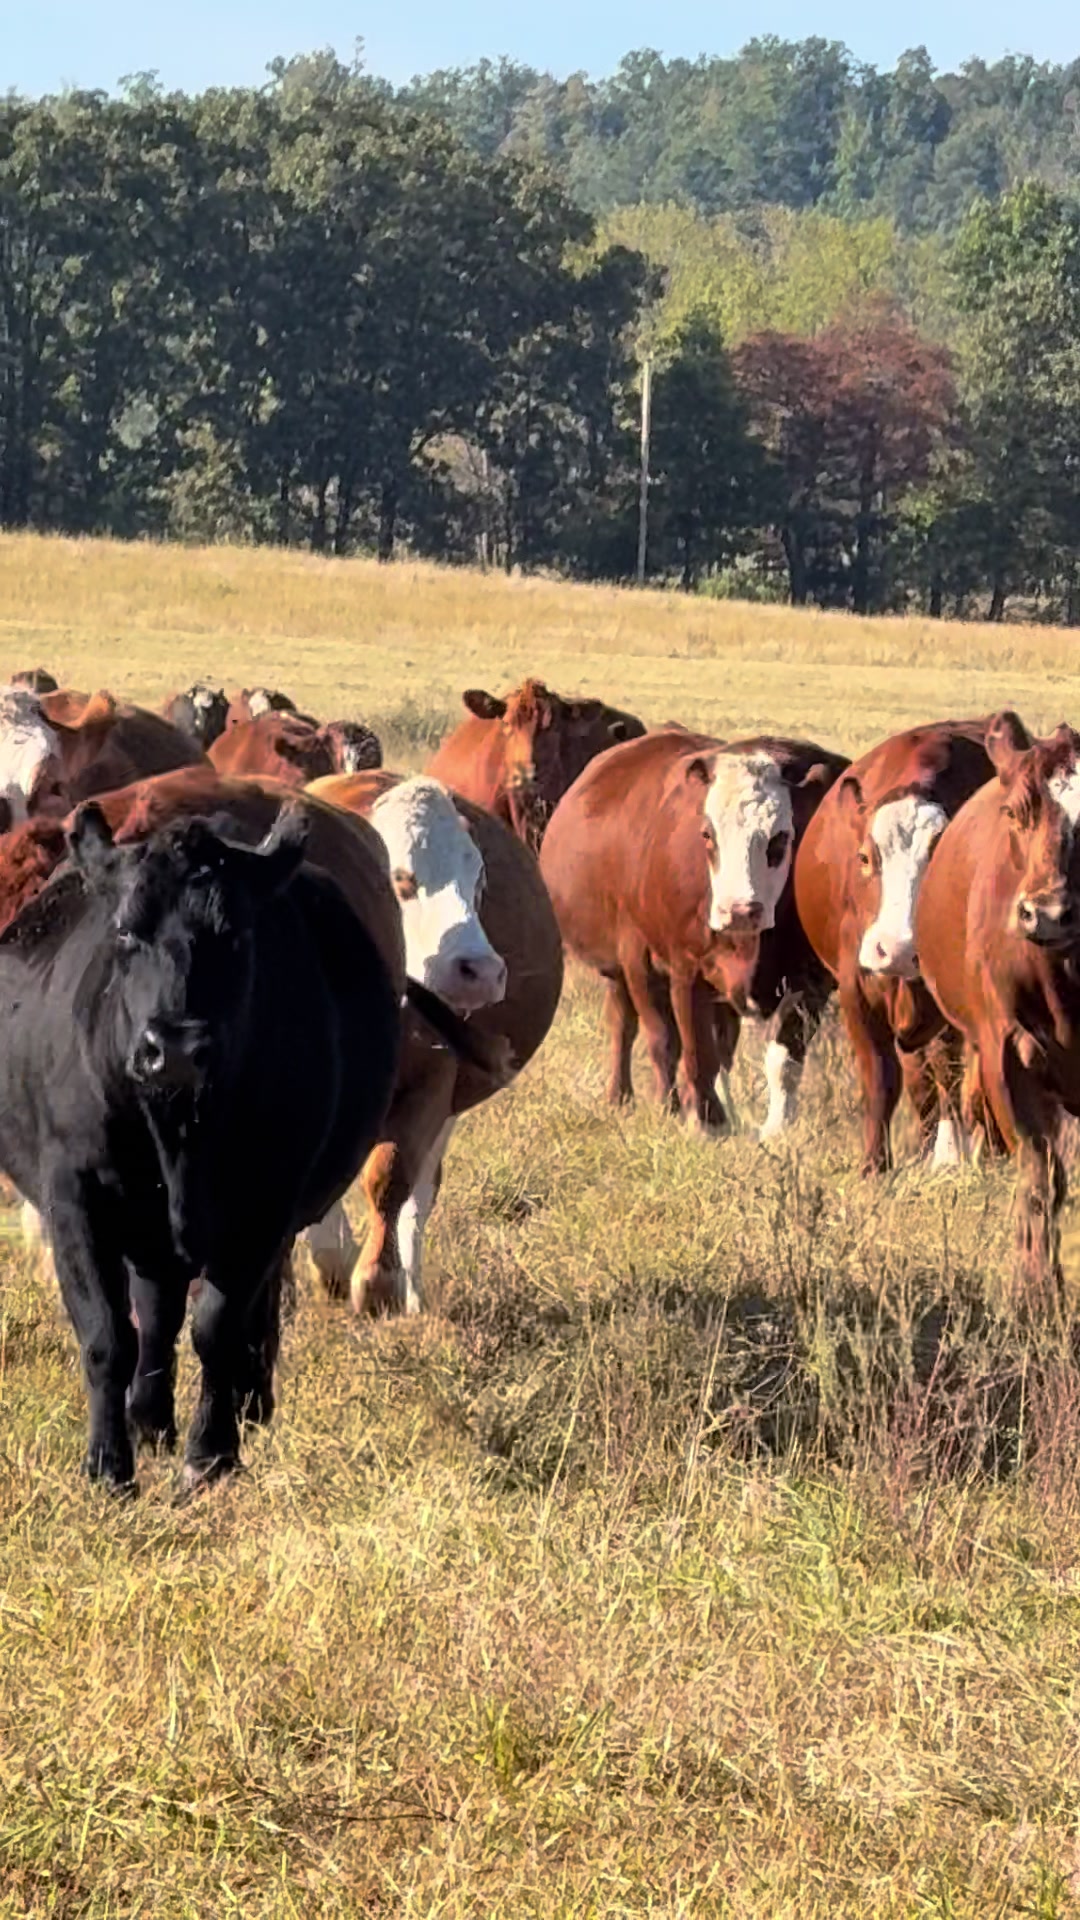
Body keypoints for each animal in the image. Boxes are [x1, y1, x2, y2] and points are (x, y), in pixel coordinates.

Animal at [0, 800, 404, 1495]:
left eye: (235, 935)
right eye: (125, 933)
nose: (176, 1048)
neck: (180, 1133)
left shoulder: (266, 1203)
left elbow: (218, 1327)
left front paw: (209, 1457)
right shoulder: (75, 1198)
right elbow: (107, 1333)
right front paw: (108, 1467)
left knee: (242, 1316)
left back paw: (244, 1407)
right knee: (157, 1312)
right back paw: (149, 1419)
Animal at [305, 768, 563, 1313]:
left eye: (479, 879)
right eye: (399, 879)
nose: (479, 970)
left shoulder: (434, 1082)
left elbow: (391, 1177)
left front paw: (377, 1282)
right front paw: (332, 1260)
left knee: (420, 1195)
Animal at [539, 727, 847, 1138]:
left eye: (781, 838)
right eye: (706, 835)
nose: (739, 910)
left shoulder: (811, 982)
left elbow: (782, 1061)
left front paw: (776, 1128)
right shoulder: (678, 968)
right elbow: (686, 1048)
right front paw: (699, 1119)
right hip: (627, 967)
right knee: (629, 1028)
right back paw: (626, 1097)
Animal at [794, 720, 995, 1173]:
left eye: (938, 861)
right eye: (865, 858)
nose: (899, 950)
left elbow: (950, 1075)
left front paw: (949, 1158)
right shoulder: (857, 989)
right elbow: (881, 1078)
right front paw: (874, 1166)